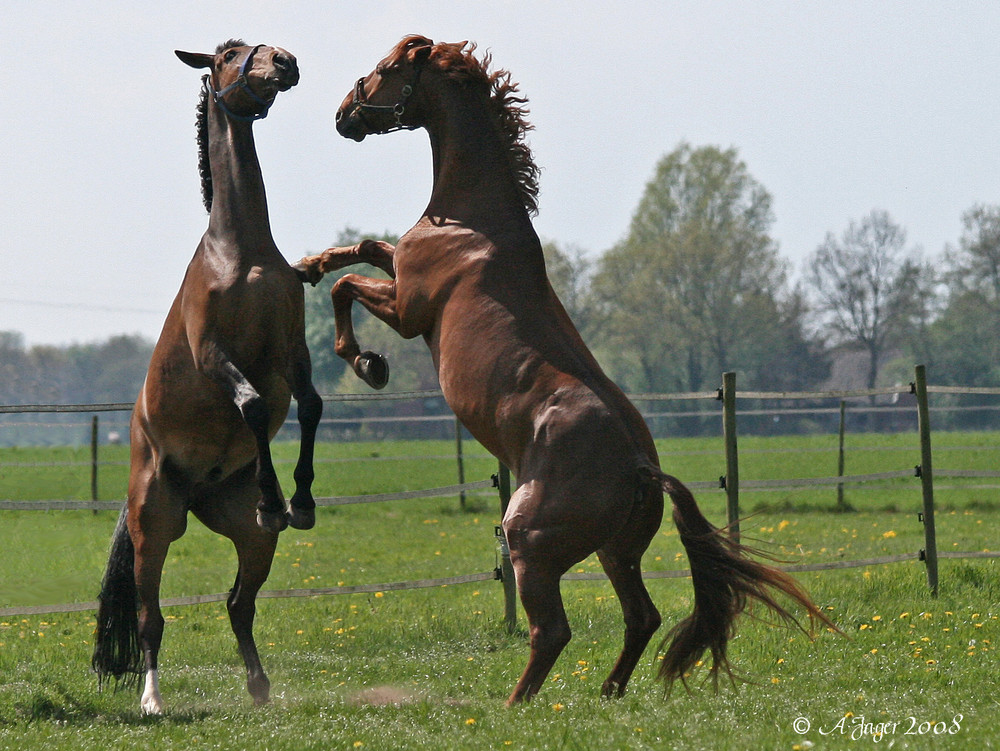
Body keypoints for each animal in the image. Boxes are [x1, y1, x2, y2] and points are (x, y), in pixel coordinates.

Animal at [92, 42, 322, 716]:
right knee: (150, 618)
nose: (285, 62)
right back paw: (152, 701)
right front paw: (277, 498)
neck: (241, 254)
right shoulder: (216, 354)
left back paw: (260, 687)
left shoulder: (290, 348)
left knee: (238, 605)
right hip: (155, 526)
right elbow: (251, 406)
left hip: (245, 536)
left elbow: (311, 406)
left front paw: (300, 500)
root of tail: (192, 493)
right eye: (226, 54)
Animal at [296, 35, 836, 704]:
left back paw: (516, 705)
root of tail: (640, 468)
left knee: (553, 630)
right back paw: (608, 693)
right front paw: (311, 263)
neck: (474, 219)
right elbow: (364, 250)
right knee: (641, 617)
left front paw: (366, 362)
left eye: (385, 70)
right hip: (613, 552)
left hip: (530, 542)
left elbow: (349, 284)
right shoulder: (400, 274)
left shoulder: (407, 308)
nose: (344, 114)